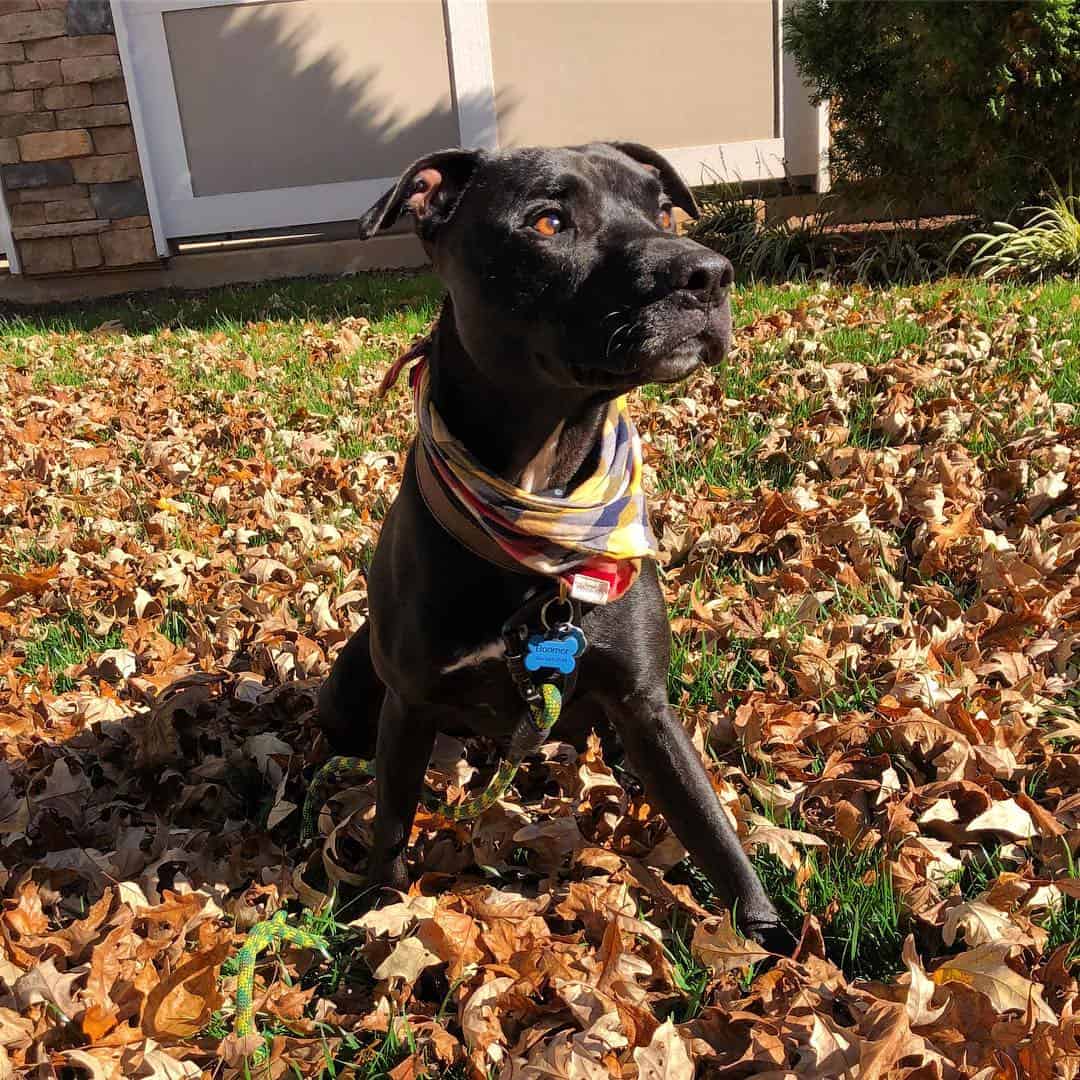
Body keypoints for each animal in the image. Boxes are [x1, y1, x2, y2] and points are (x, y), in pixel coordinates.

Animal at [317, 141, 786, 946]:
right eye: (547, 221)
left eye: (662, 210)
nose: (709, 274)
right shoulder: (407, 705)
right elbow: (391, 823)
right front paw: (378, 908)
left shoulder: (644, 705)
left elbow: (710, 826)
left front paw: (769, 937)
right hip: (350, 693)